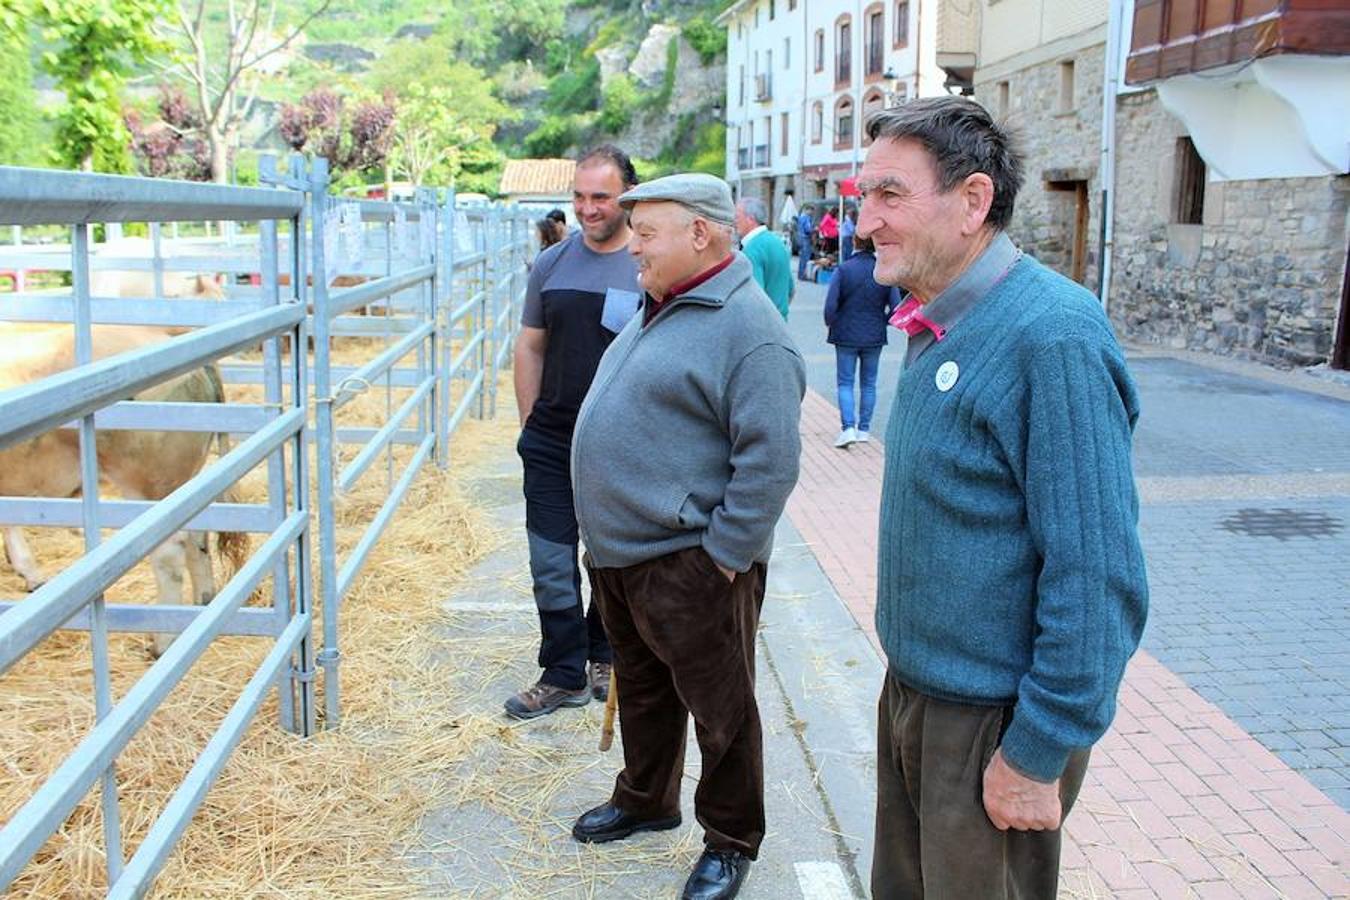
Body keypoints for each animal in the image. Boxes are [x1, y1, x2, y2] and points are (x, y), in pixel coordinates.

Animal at [0, 323, 251, 655]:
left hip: (149, 484)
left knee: (169, 552)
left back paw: (162, 642)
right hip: (184, 482)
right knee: (198, 536)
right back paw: (202, 603)